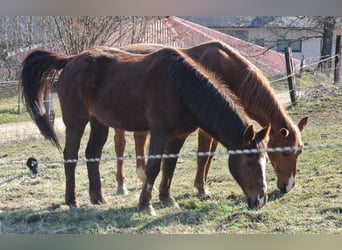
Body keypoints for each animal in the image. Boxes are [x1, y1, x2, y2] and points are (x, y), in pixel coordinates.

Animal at [21, 46, 272, 214]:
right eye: (249, 162)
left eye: (265, 160)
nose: (260, 200)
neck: (181, 85)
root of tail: (71, 60)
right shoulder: (159, 133)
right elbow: (153, 167)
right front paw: (145, 205)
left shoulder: (178, 135)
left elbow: (169, 166)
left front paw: (167, 199)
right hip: (76, 122)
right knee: (70, 157)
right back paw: (71, 200)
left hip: (99, 122)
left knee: (92, 155)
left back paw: (98, 198)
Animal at [114, 40, 308, 195]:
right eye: (284, 152)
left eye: (299, 152)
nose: (288, 186)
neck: (230, 72)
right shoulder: (205, 127)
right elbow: (203, 155)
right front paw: (200, 188)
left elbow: (210, 155)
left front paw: (203, 185)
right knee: (120, 146)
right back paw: (121, 185)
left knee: (139, 139)